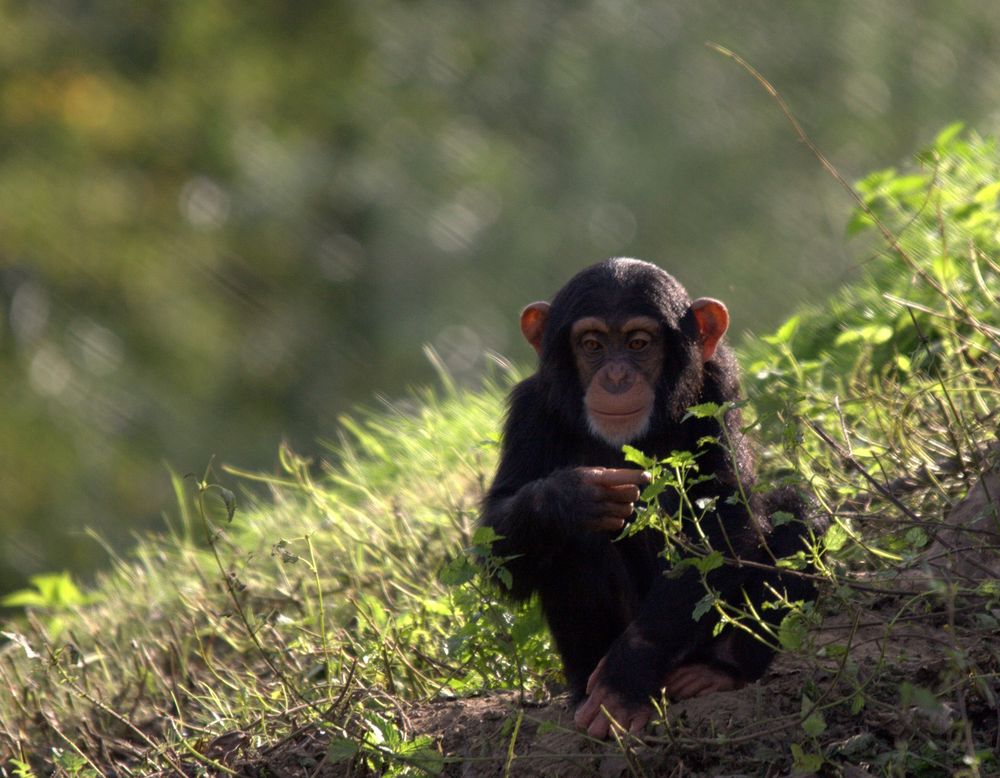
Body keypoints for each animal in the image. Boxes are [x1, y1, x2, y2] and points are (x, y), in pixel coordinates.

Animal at [480, 258, 816, 736]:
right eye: (592, 344)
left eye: (638, 343)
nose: (617, 375)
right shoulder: (531, 410)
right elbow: (497, 538)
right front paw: (571, 497)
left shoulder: (717, 387)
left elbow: (726, 514)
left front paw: (627, 676)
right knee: (572, 542)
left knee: (795, 509)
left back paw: (719, 670)